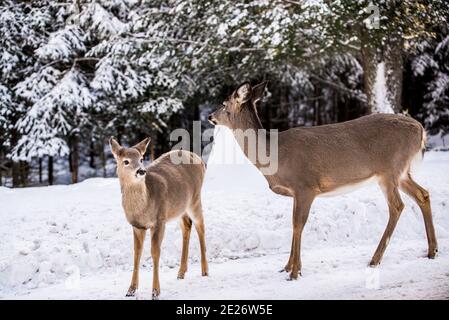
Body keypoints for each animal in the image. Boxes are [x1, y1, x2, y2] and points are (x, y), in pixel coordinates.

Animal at [109, 138, 207, 300]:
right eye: (126, 161)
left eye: (141, 159)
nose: (141, 171)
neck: (144, 207)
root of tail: (199, 160)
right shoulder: (137, 226)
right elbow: (136, 254)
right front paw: (131, 290)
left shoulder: (159, 220)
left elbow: (155, 252)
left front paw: (155, 291)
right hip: (178, 208)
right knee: (187, 226)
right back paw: (181, 272)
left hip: (195, 199)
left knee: (201, 226)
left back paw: (205, 271)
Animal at [207, 82, 438, 280]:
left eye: (224, 103)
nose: (210, 116)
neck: (274, 156)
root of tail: (421, 129)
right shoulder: (296, 192)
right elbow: (293, 224)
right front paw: (287, 267)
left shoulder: (306, 186)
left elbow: (298, 224)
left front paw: (294, 272)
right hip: (402, 173)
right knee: (423, 194)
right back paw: (432, 250)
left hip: (389, 170)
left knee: (397, 206)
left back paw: (375, 259)